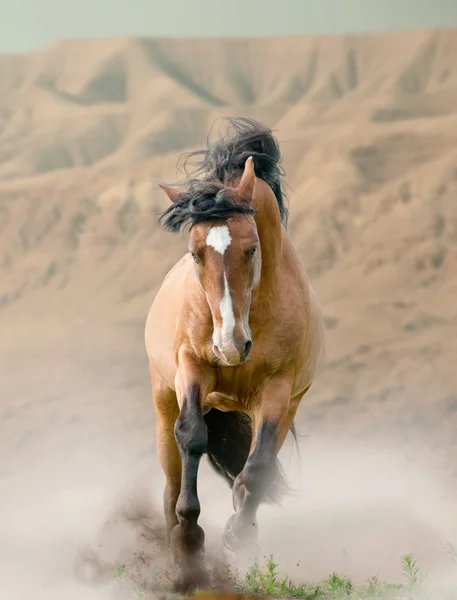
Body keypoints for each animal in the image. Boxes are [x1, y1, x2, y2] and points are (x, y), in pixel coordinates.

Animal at [143, 116, 324, 592]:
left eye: (251, 248)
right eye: (194, 253)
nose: (230, 345)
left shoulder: (278, 391)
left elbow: (257, 470)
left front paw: (237, 535)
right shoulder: (191, 369)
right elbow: (192, 436)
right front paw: (190, 541)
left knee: (255, 470)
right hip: (163, 399)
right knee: (170, 481)